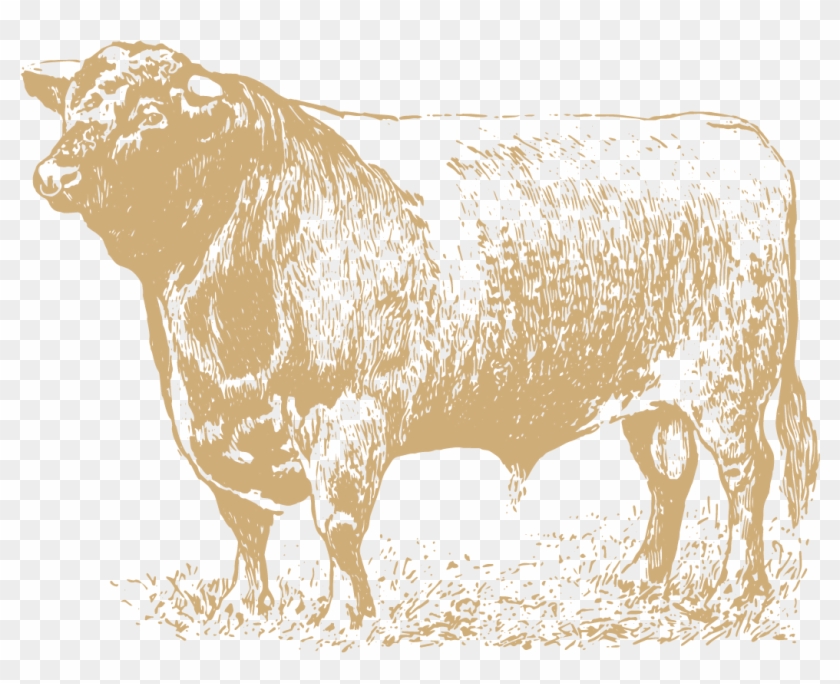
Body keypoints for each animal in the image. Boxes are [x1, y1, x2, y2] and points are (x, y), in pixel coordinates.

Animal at [23, 41, 819, 628]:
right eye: (71, 106)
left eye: (150, 112)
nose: (53, 173)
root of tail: (739, 136)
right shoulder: (210, 421)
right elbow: (245, 524)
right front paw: (243, 611)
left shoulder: (347, 416)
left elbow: (337, 522)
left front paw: (347, 618)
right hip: (652, 393)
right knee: (670, 475)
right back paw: (641, 580)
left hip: (727, 383)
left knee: (748, 475)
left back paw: (733, 590)